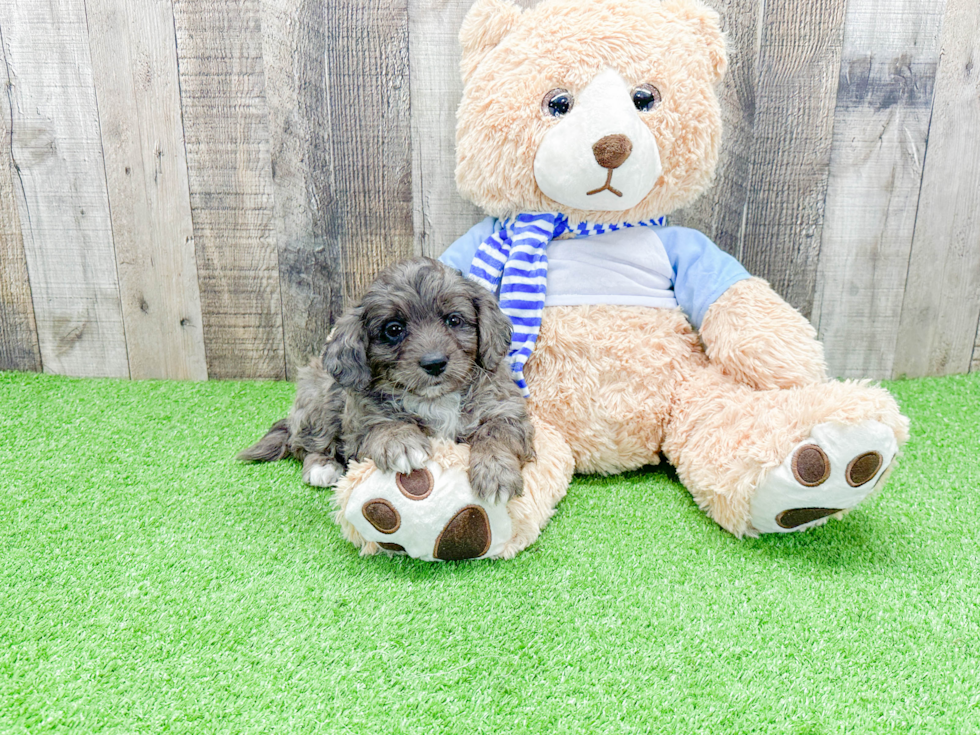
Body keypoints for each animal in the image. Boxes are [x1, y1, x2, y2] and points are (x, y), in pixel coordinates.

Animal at [243, 256, 536, 504]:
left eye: (454, 320)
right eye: (394, 329)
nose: (434, 364)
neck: (436, 399)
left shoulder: (504, 409)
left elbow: (497, 435)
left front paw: (495, 472)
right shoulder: (360, 420)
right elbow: (382, 424)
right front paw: (401, 443)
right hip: (318, 400)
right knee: (305, 443)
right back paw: (322, 467)